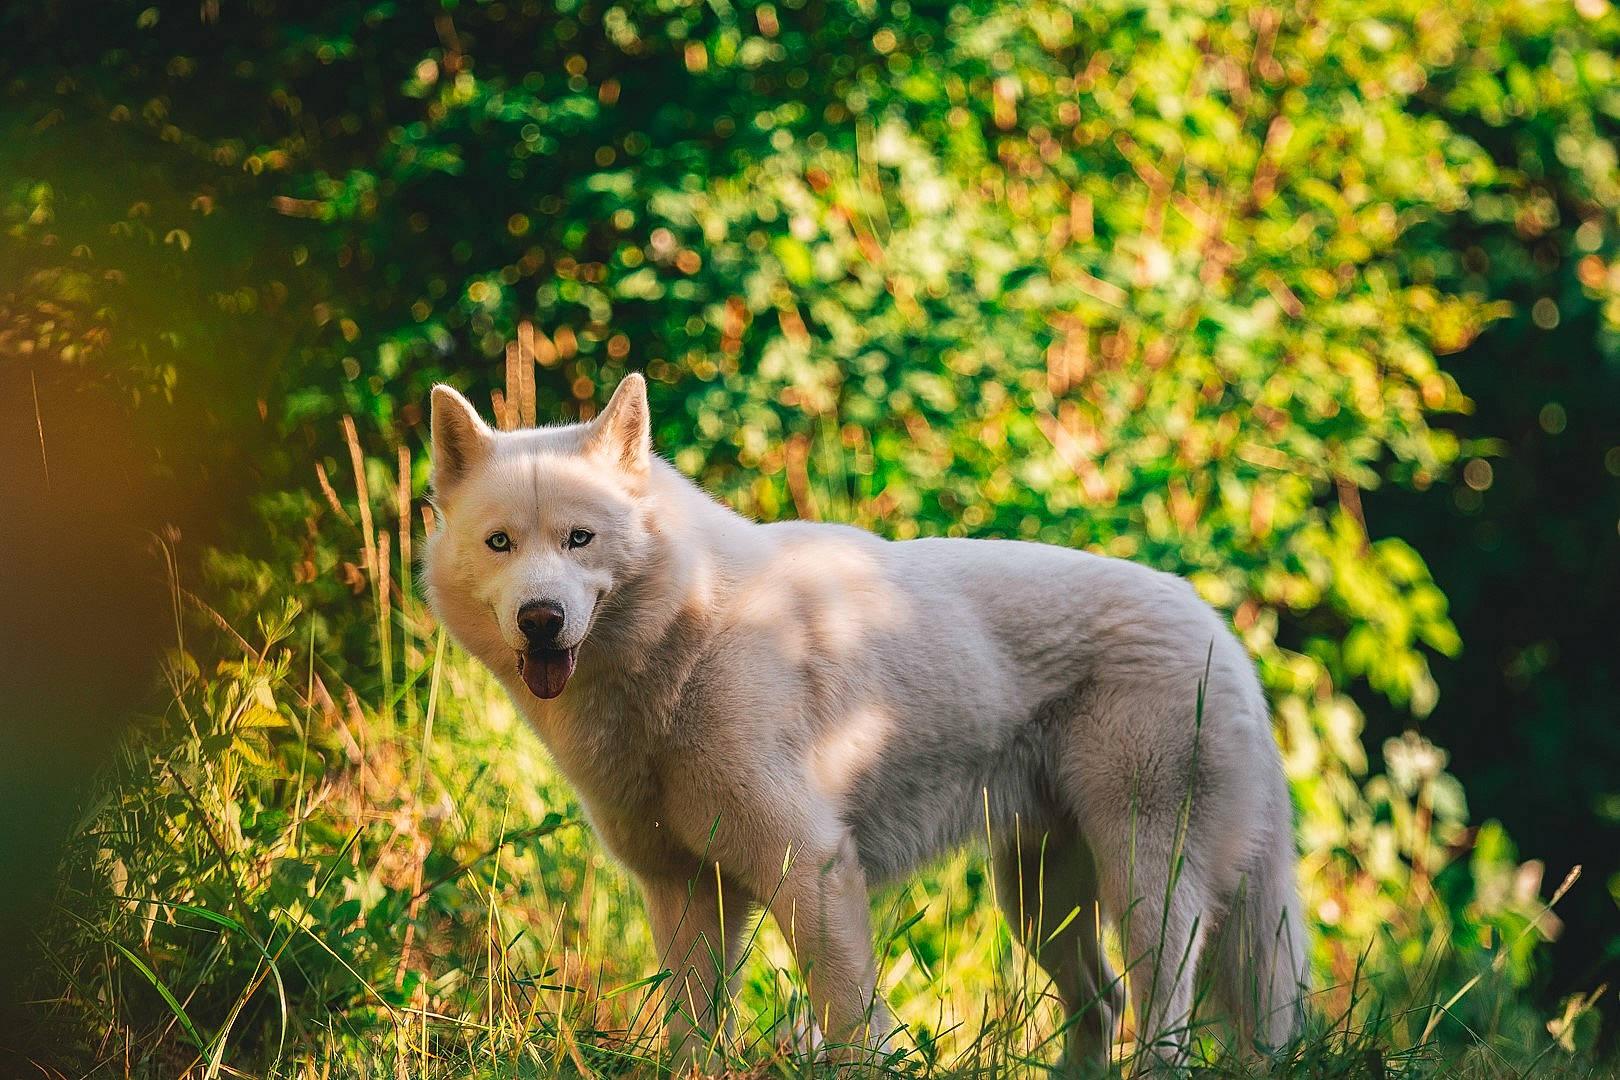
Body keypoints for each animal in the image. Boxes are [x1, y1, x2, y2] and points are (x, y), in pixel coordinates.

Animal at [423, 374, 1308, 1073]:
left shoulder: (811, 870)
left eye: (580, 538)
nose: (541, 619)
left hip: (1145, 888)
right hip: (1037, 902)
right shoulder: (688, 894)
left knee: (1167, 1021)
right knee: (1104, 1006)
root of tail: (1221, 632)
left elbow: (852, 1021)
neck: (684, 645)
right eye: (501, 544)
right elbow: (694, 1036)